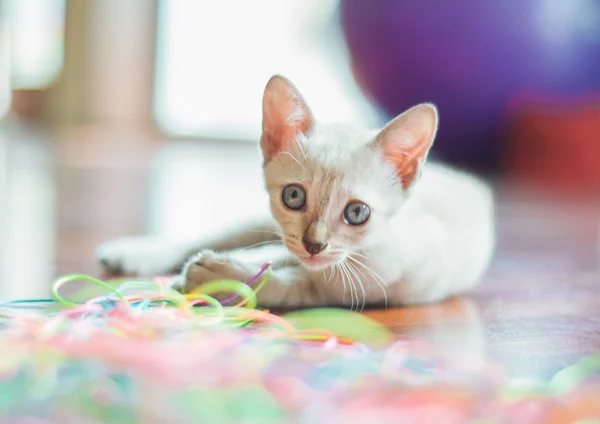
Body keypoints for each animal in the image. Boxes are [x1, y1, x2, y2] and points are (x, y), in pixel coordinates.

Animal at [97, 75, 492, 308]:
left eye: (357, 213)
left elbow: (282, 280)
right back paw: (135, 254)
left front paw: (217, 276)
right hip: (255, 222)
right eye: (294, 196)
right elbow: (270, 255)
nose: (314, 244)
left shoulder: (348, 285)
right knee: (214, 238)